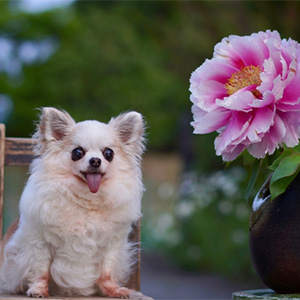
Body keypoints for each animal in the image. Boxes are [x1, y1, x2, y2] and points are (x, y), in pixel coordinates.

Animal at [0, 108, 145, 298]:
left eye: (108, 154)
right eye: (77, 152)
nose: (95, 160)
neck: (87, 199)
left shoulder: (112, 244)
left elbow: (106, 271)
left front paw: (113, 289)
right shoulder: (38, 241)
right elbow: (41, 269)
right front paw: (38, 289)